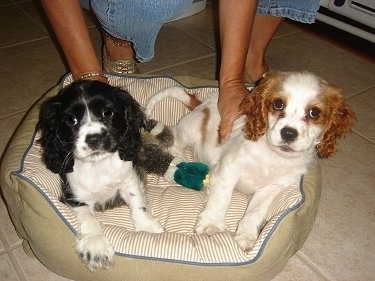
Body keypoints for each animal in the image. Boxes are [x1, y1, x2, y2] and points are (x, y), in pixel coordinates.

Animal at [38, 79, 164, 270]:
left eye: (108, 113)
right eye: (71, 120)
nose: (94, 138)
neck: (98, 165)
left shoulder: (128, 179)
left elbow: (137, 202)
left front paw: (146, 226)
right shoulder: (73, 196)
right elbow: (89, 218)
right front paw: (96, 246)